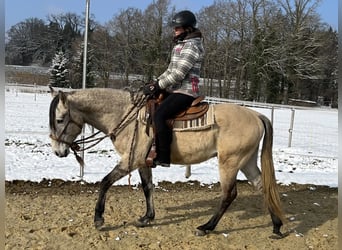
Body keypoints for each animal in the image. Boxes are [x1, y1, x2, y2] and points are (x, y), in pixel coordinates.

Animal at [48, 87, 286, 237]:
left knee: (229, 195)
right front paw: (147, 217)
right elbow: (147, 187)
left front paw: (98, 219)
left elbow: (105, 182)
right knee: (262, 186)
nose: (58, 152)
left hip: (229, 163)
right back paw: (276, 227)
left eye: (59, 119)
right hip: (247, 161)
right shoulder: (143, 162)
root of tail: (257, 116)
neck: (126, 116)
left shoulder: (130, 161)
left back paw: (206, 227)